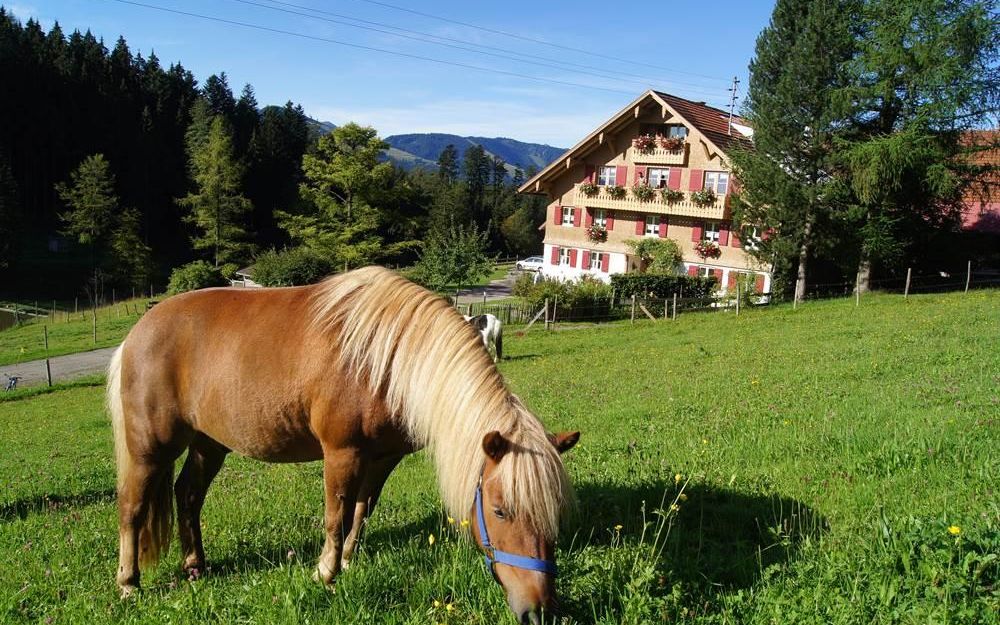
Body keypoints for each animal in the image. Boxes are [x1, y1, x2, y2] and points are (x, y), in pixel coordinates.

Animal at [107, 266, 578, 623]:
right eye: (499, 511)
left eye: (554, 511)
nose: (539, 609)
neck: (386, 360)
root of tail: (135, 334)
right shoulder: (342, 453)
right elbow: (336, 516)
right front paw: (325, 574)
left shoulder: (382, 457)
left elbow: (361, 511)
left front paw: (348, 560)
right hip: (150, 447)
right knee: (132, 506)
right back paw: (128, 584)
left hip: (210, 443)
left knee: (187, 495)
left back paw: (195, 566)